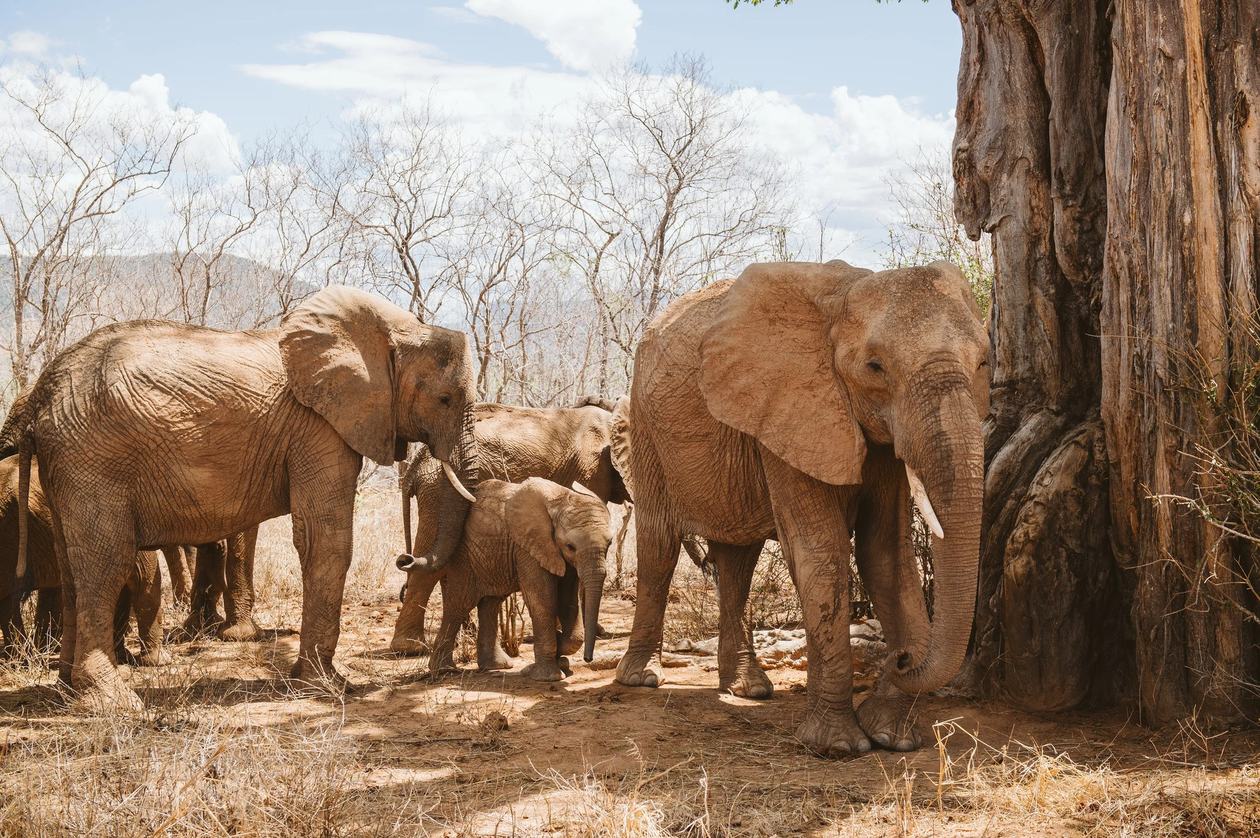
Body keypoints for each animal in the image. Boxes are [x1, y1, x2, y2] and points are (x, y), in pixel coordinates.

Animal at [416, 478, 611, 680]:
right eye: (570, 546)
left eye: (610, 544)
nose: (588, 659)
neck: (561, 499)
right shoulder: (528, 546)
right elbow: (543, 601)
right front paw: (549, 676)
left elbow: (568, 602)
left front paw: (560, 657)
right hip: (464, 555)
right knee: (459, 604)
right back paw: (444, 670)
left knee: (491, 603)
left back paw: (495, 666)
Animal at [613, 260, 988, 757]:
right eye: (875, 367)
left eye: (983, 362)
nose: (903, 658)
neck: (845, 295)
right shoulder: (790, 405)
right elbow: (821, 554)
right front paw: (837, 746)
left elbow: (887, 556)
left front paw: (893, 736)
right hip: (643, 422)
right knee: (659, 545)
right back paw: (640, 679)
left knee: (738, 558)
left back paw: (748, 688)